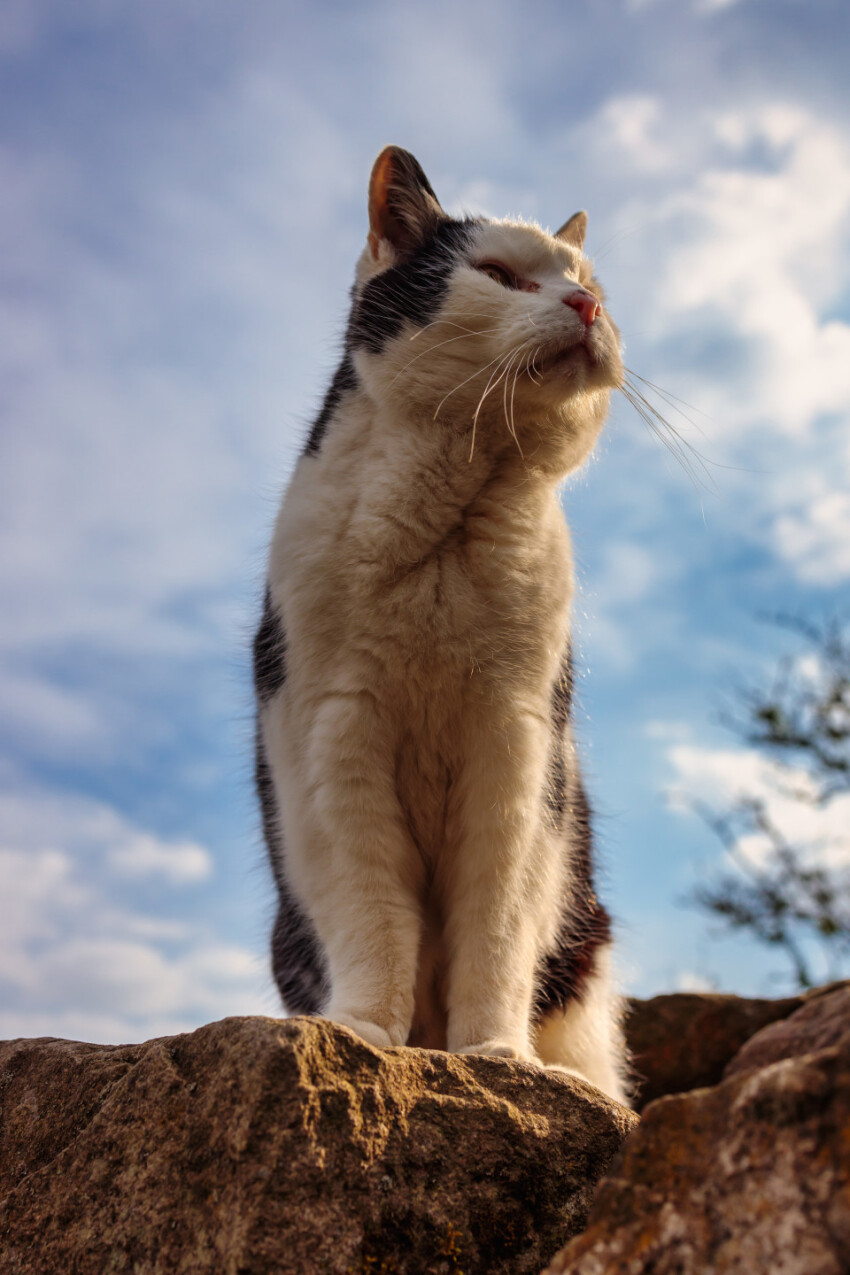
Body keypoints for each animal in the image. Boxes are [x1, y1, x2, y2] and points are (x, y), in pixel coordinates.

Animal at [252, 146, 632, 1106]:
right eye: (497, 276)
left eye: (588, 283)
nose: (586, 308)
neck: (454, 516)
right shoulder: (334, 734)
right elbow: (372, 912)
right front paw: (362, 1035)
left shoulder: (517, 742)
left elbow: (494, 922)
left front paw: (494, 1055)